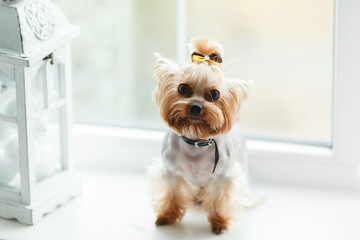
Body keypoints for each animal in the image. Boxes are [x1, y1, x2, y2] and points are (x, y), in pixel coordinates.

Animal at [150, 36, 253, 233]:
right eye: (182, 88)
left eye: (214, 94)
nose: (196, 107)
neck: (196, 141)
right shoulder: (170, 171)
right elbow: (173, 193)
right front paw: (167, 215)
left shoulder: (223, 176)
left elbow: (220, 198)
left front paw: (219, 222)